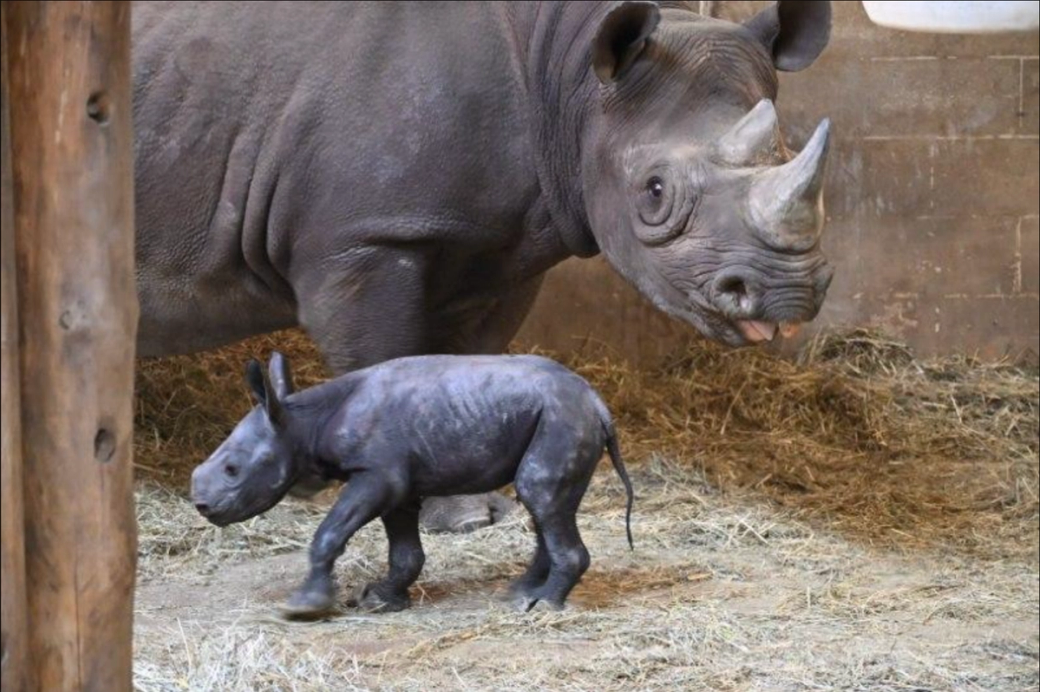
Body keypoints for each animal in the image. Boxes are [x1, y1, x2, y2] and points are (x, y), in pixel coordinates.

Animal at [132, 0, 834, 532]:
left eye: (792, 152)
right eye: (654, 192)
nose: (789, 296)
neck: (570, 75)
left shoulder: (497, 244)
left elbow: (470, 366)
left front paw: (469, 509)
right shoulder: (363, 239)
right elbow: (383, 361)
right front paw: (430, 511)